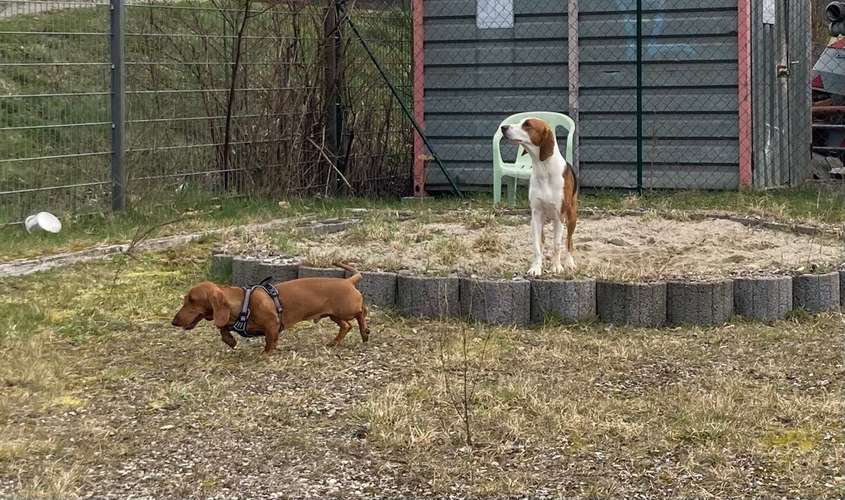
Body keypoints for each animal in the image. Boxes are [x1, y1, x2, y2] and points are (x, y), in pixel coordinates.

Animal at [504, 117, 576, 278]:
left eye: (527, 125)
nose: (503, 127)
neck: (544, 169)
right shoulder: (536, 215)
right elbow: (537, 246)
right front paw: (536, 267)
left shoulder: (559, 216)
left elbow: (557, 245)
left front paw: (557, 266)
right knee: (542, 241)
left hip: (572, 216)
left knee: (569, 241)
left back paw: (569, 262)